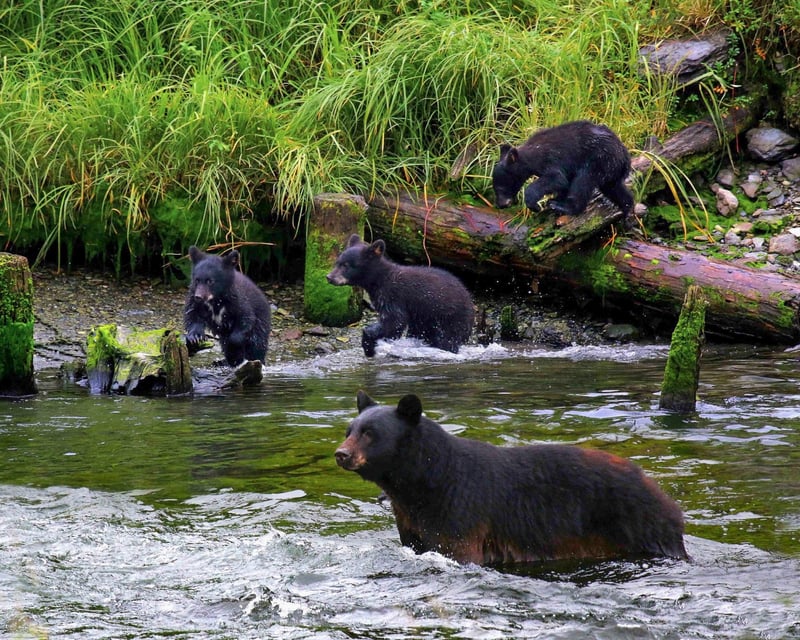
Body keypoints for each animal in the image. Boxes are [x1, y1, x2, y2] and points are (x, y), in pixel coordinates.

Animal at [326, 235, 474, 357]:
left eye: (346, 265)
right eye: (337, 262)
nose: (329, 277)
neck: (380, 279)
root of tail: (469, 299)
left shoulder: (393, 296)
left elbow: (395, 321)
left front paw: (369, 346)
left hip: (450, 319)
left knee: (447, 340)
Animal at [335, 391, 687, 566]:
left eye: (370, 433)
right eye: (350, 429)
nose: (341, 453)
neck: (424, 483)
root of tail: (666, 498)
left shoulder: (460, 513)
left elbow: (459, 549)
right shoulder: (412, 522)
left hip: (638, 526)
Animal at [492, 120, 634, 220]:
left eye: (500, 187)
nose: (501, 204)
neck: (531, 155)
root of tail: (625, 157)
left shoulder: (551, 159)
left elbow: (557, 179)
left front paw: (536, 205)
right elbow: (564, 183)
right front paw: (556, 198)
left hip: (599, 160)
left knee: (583, 181)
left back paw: (564, 207)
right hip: (610, 168)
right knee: (614, 188)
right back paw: (628, 209)